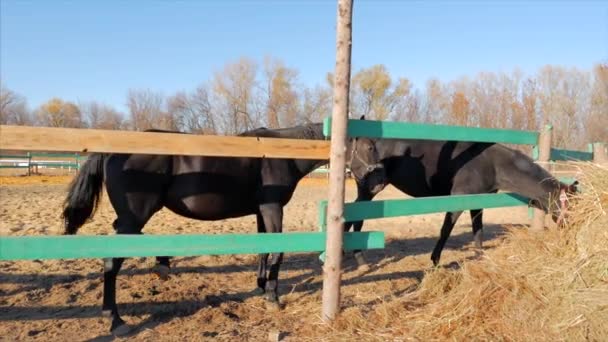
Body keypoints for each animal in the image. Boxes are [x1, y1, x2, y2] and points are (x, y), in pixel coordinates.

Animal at [61, 121, 384, 336]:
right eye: (368, 146)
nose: (378, 182)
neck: (279, 154)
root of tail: (111, 150)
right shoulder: (272, 207)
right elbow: (277, 252)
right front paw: (273, 298)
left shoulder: (261, 210)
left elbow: (263, 250)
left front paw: (261, 287)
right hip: (135, 216)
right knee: (111, 262)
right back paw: (115, 319)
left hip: (133, 217)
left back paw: (161, 265)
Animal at [344, 139, 576, 268]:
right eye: (571, 206)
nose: (570, 229)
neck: (491, 163)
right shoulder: (459, 198)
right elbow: (446, 230)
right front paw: (435, 260)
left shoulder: (478, 202)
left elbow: (478, 231)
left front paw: (480, 256)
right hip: (368, 189)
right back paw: (359, 260)